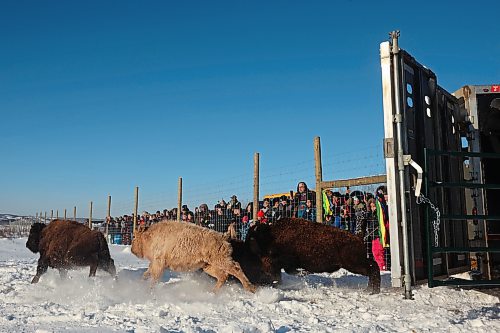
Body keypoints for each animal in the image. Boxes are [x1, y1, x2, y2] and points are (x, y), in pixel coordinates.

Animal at [245, 218, 378, 294]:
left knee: (373, 268)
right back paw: (370, 290)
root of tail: (358, 237)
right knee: (373, 266)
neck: (271, 236)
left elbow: (290, 271)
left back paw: (371, 291)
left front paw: (305, 272)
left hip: (354, 264)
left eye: (251, 237)